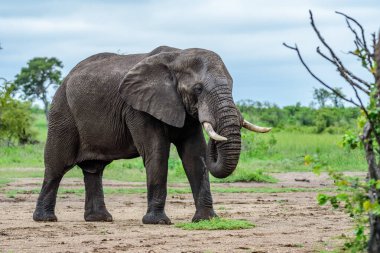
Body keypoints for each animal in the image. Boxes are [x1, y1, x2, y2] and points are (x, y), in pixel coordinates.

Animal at [32, 45, 270, 223]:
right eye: (198, 89)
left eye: (231, 85)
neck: (177, 56)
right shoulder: (137, 107)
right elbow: (157, 152)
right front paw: (158, 222)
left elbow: (195, 155)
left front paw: (207, 219)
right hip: (62, 112)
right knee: (56, 166)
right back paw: (45, 219)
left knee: (94, 170)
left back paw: (100, 219)